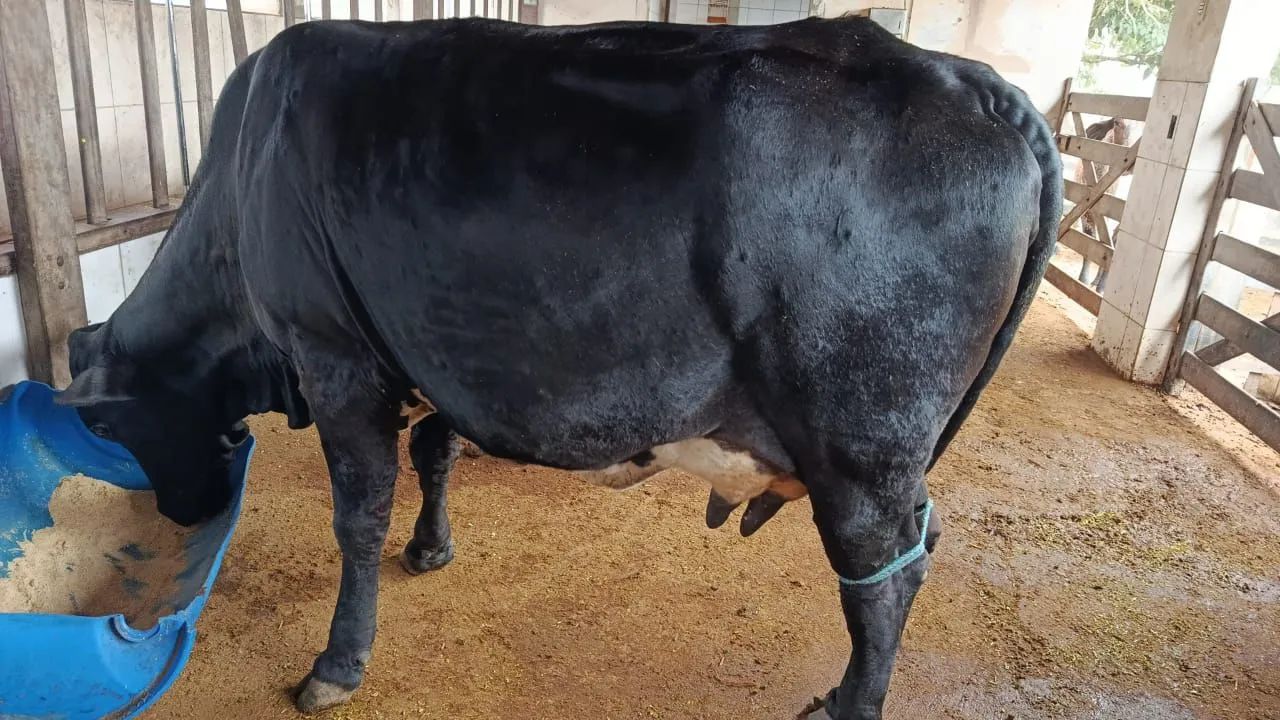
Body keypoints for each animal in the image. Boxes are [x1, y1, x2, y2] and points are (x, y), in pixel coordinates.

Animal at [50, 15, 1059, 720]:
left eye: (103, 421)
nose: (184, 515)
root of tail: (972, 82)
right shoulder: (447, 350)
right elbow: (436, 452)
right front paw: (431, 547)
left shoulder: (334, 357)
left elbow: (356, 516)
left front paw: (337, 665)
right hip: (887, 460)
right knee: (918, 549)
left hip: (861, 449)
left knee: (884, 586)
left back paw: (852, 701)